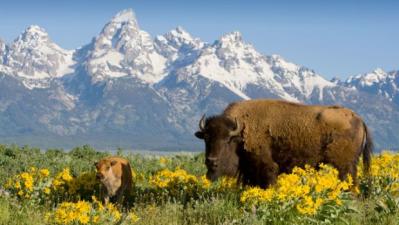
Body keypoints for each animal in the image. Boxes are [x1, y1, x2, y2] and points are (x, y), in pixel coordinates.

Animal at [195, 99, 374, 187]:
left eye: (227, 140)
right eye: (206, 138)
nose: (211, 161)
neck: (241, 131)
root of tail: (359, 118)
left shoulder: (267, 168)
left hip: (345, 166)